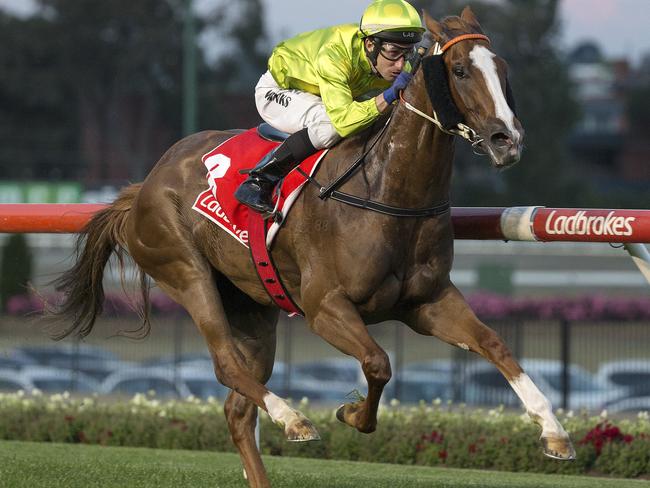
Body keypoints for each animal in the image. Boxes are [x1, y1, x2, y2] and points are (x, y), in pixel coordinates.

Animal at [53, 7, 576, 488]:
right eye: (461, 70)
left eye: (503, 69)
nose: (508, 140)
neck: (388, 190)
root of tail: (144, 185)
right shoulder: (324, 307)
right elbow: (378, 363)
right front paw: (349, 414)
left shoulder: (429, 302)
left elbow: (495, 344)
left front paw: (553, 432)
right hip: (186, 270)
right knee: (225, 364)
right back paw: (293, 418)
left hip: (252, 308)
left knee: (238, 408)